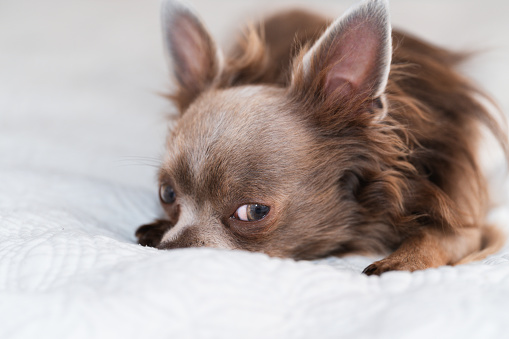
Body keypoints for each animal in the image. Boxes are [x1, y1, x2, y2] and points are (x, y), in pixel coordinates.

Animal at [133, 0, 506, 274]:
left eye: (254, 212)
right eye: (167, 194)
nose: (170, 250)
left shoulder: (467, 218)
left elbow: (440, 235)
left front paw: (406, 259)